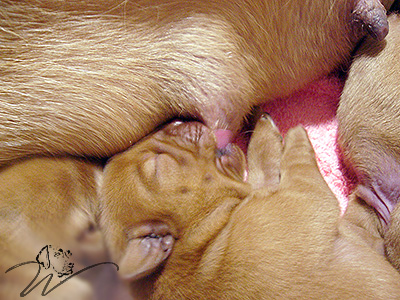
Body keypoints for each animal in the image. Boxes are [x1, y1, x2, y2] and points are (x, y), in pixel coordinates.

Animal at [99, 116, 400, 298]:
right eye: (157, 165)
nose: (176, 120)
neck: (202, 237)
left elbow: (262, 167)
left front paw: (261, 130)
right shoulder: (305, 196)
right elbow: (296, 163)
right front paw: (292, 134)